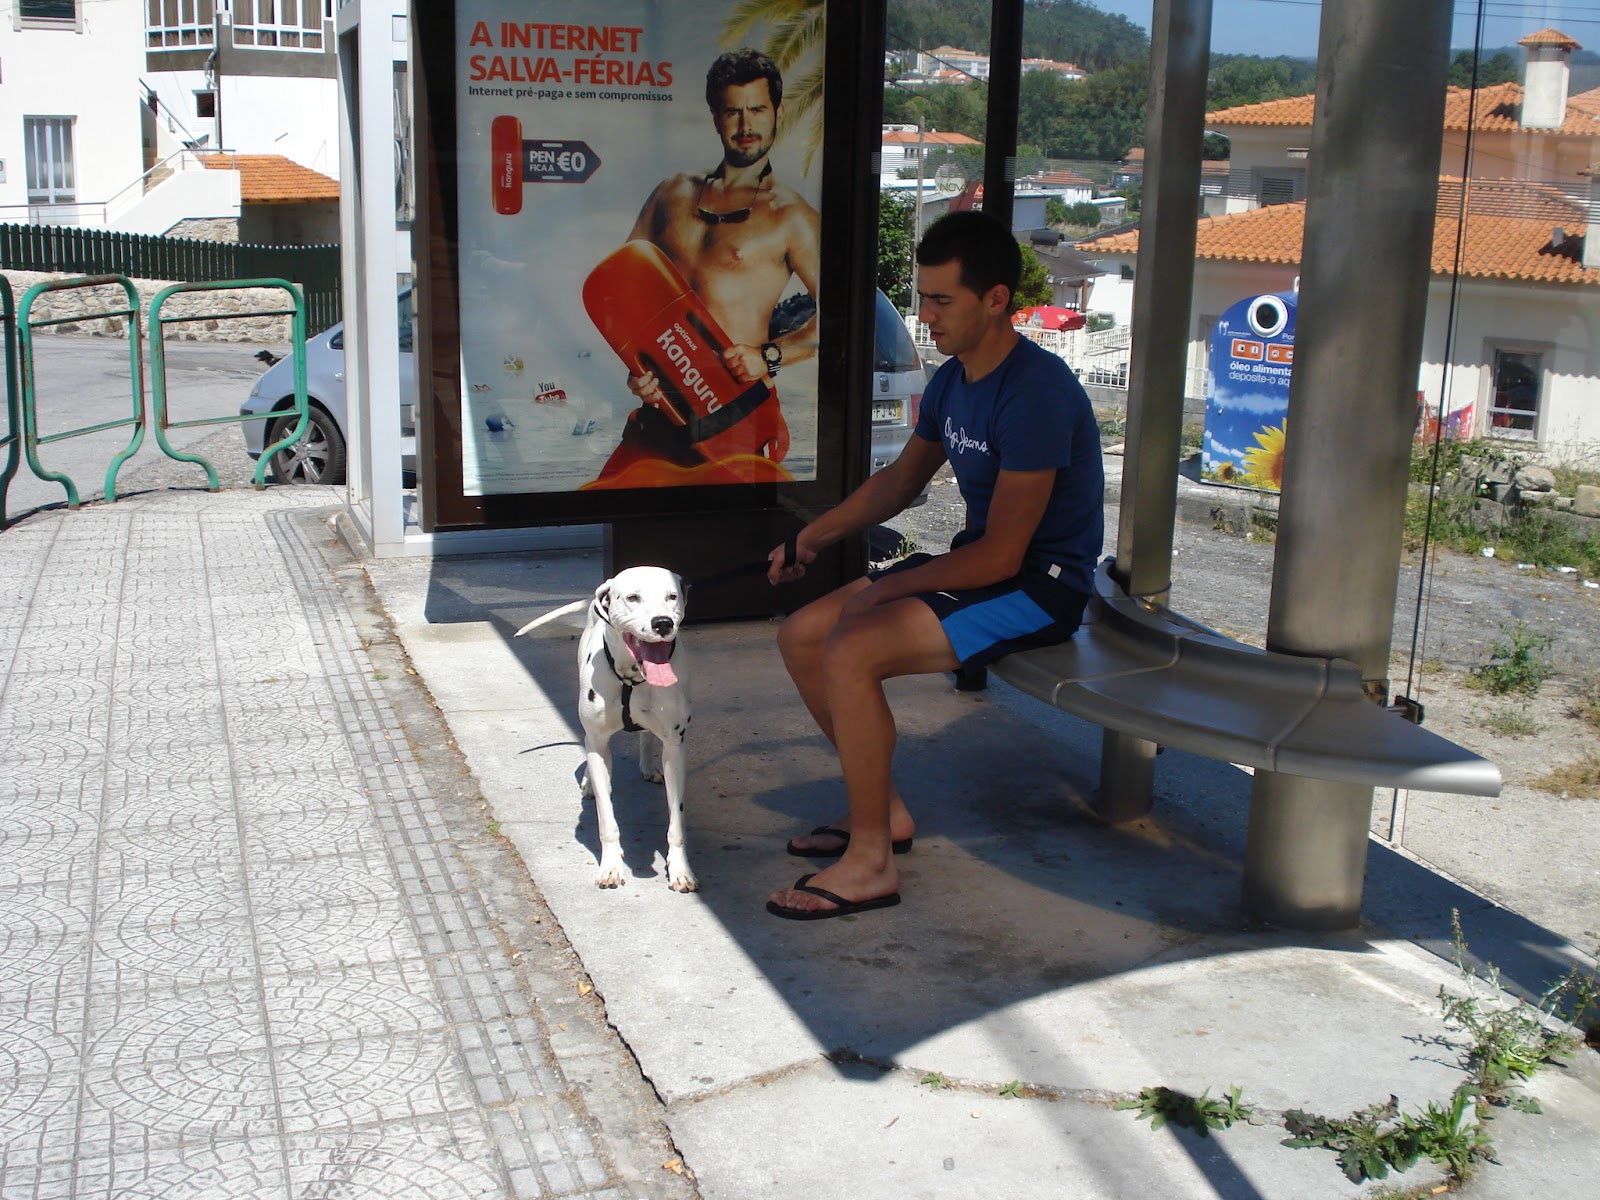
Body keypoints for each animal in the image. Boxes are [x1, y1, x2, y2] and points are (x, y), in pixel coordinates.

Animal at [516, 567, 695, 892]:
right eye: (633, 597)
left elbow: (676, 823)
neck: (632, 677)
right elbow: (606, 819)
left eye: (672, 596)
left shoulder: (676, 748)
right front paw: (611, 867)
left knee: (646, 738)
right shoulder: (598, 743)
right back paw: (588, 782)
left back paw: (648, 766)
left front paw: (680, 870)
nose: (663, 623)